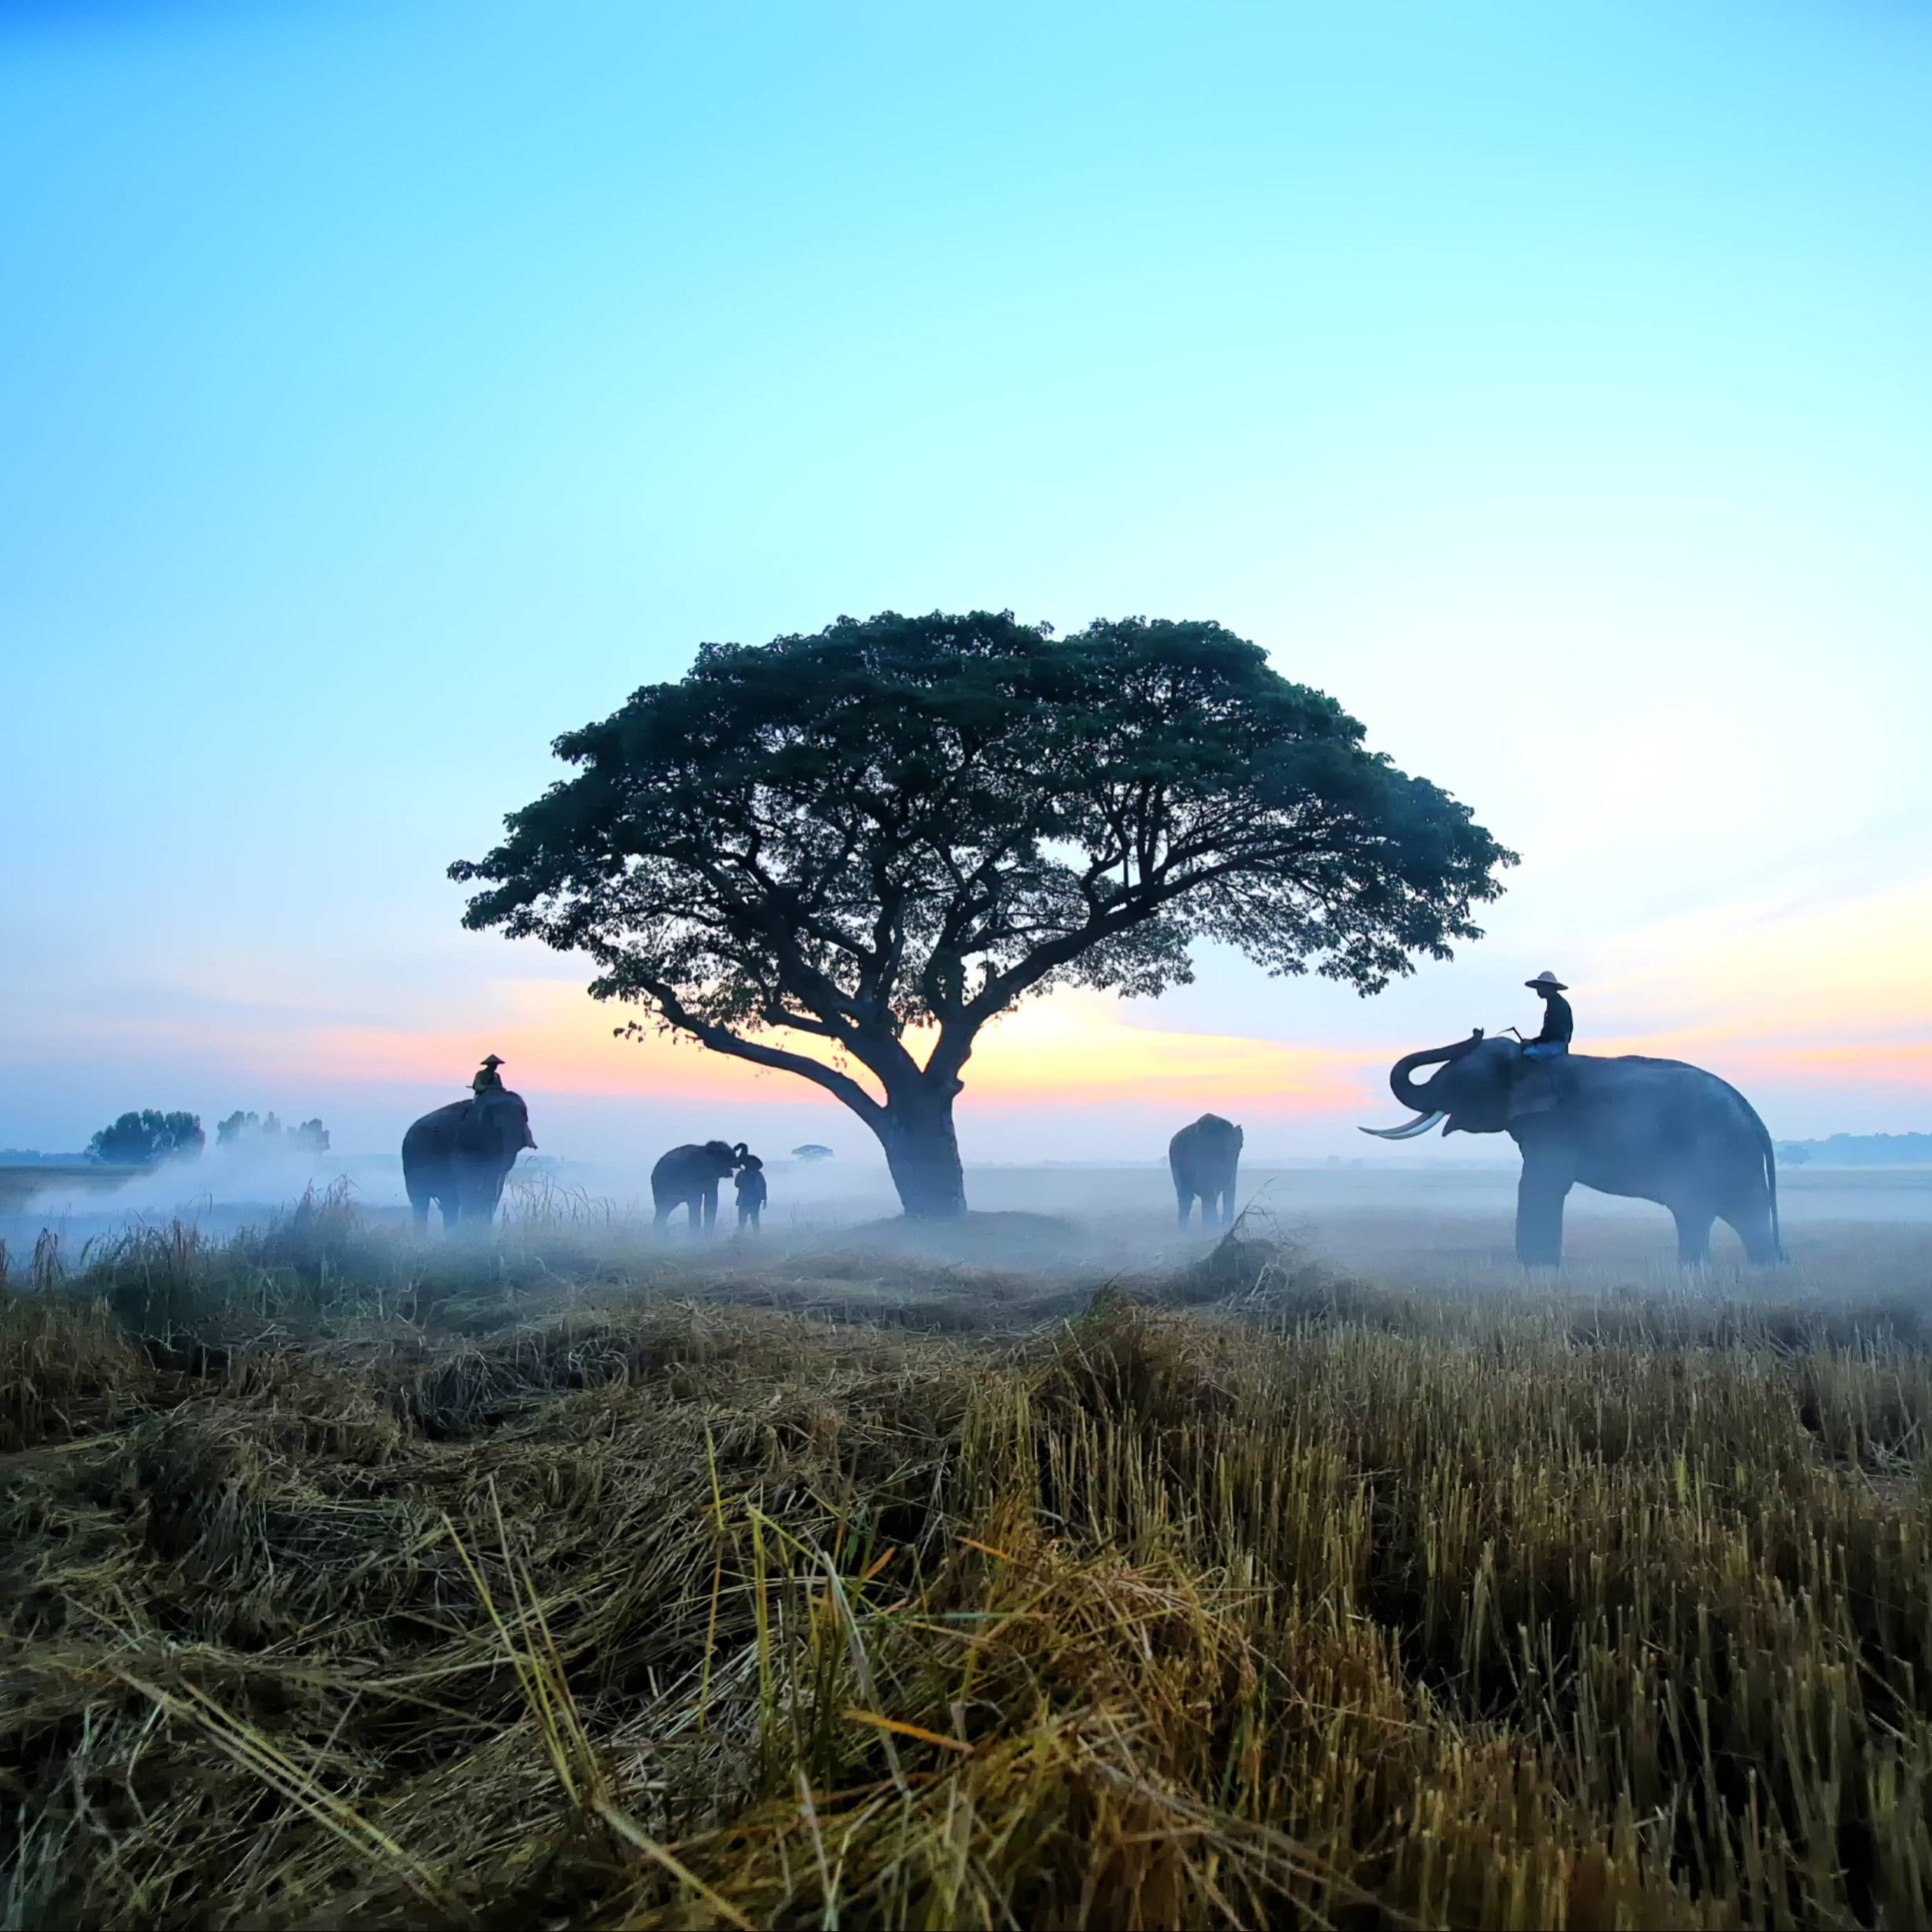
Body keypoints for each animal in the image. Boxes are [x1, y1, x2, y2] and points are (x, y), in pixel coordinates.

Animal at [402, 1088, 536, 1234]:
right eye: (495, 1128)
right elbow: (468, 1187)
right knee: (420, 1201)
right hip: (411, 1160)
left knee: (448, 1203)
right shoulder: (460, 1148)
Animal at [1361, 1031, 1782, 1267]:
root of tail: (1749, 1109)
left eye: (1461, 1079)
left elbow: (1540, 1183)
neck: (1525, 1060)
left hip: (1716, 1147)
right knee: (1734, 1214)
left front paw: (1536, 1267)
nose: (1476, 1029)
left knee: (1707, 1211)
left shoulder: (1554, 1125)